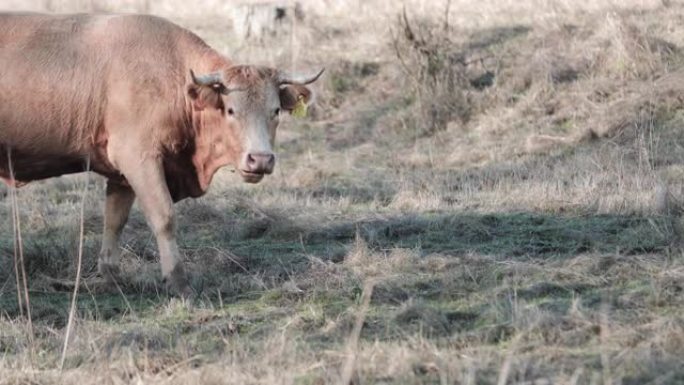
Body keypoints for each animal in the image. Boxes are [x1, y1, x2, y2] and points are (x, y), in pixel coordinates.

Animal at [0, 12, 324, 294]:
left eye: (276, 110)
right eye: (231, 110)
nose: (261, 159)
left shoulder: (121, 172)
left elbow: (114, 220)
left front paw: (111, 276)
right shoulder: (138, 157)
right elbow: (164, 216)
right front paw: (178, 281)